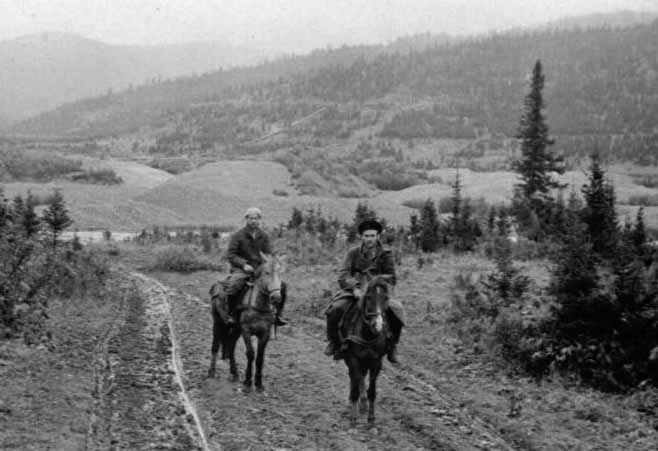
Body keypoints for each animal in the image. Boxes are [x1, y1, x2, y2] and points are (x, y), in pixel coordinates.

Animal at [208, 252, 284, 394]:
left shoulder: (264, 333)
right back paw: (211, 372)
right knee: (215, 346)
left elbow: (260, 358)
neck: (259, 306)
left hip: (236, 329)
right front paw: (248, 383)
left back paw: (234, 373)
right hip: (218, 322)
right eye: (266, 273)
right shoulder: (246, 330)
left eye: (280, 273)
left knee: (230, 345)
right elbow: (250, 354)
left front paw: (259, 384)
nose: (276, 297)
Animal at [338, 274, 390, 426]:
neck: (368, 335)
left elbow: (372, 391)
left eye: (386, 298)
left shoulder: (376, 362)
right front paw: (353, 418)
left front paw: (371, 419)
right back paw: (354, 403)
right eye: (369, 297)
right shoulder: (354, 359)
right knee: (354, 378)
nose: (377, 325)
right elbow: (356, 384)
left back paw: (363, 403)